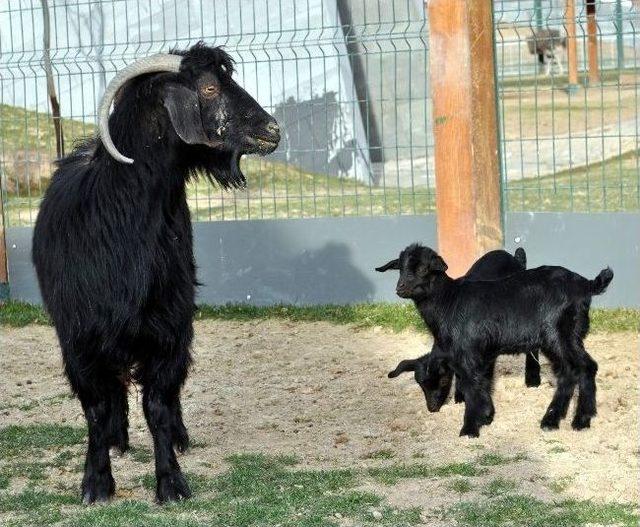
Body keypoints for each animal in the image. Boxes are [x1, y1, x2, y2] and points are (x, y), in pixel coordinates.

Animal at [30, 42, 280, 504]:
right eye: (209, 86)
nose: (272, 129)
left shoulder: (168, 329)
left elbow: (159, 407)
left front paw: (171, 483)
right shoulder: (80, 338)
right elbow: (96, 408)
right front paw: (96, 483)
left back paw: (177, 437)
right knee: (113, 395)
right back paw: (117, 438)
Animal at [378, 245, 612, 440]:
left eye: (423, 268)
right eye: (400, 268)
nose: (432, 408)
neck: (448, 301)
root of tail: (585, 285)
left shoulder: (469, 353)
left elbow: (472, 386)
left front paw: (470, 429)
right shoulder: (480, 355)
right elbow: (481, 382)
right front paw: (487, 416)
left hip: (560, 334)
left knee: (580, 368)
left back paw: (572, 420)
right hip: (565, 337)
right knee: (576, 370)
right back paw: (563, 420)